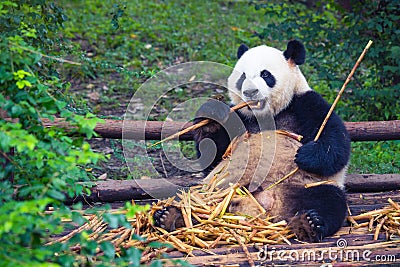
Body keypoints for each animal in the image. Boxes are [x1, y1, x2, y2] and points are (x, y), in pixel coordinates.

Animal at [153, 39, 350, 243]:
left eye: (265, 74)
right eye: (242, 77)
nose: (250, 92)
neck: (266, 114)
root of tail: (266, 205)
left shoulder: (306, 104)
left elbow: (337, 144)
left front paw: (305, 155)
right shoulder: (239, 117)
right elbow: (213, 155)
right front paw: (212, 115)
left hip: (304, 185)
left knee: (329, 200)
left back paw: (310, 223)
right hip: (214, 189)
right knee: (188, 197)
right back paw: (169, 216)